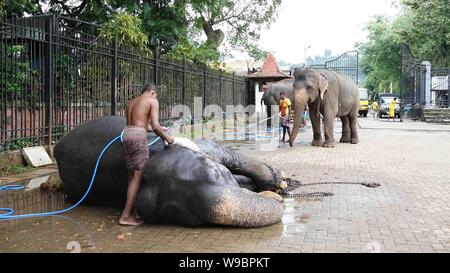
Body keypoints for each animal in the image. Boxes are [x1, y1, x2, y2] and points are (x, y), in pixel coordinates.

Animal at [54, 116, 286, 226]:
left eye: (218, 173)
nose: (278, 199)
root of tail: (57, 146)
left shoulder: (204, 146)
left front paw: (277, 181)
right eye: (178, 215)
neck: (154, 152)